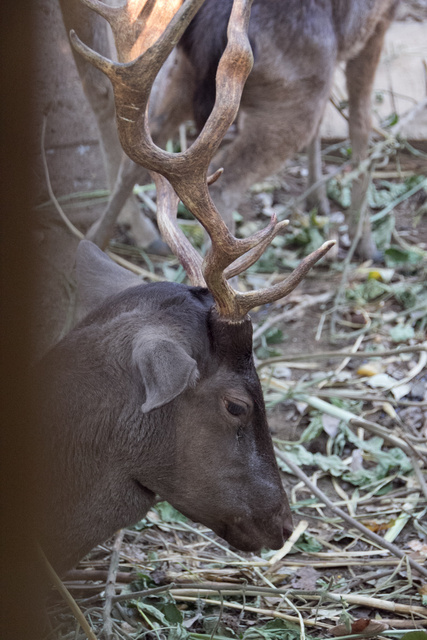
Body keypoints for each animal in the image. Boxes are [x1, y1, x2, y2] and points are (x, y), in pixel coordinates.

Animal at [60, 0, 402, 262]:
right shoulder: (379, 21)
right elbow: (361, 120)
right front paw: (365, 242)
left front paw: (318, 200)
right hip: (294, 97)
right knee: (225, 189)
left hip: (182, 72)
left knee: (141, 146)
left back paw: (99, 242)